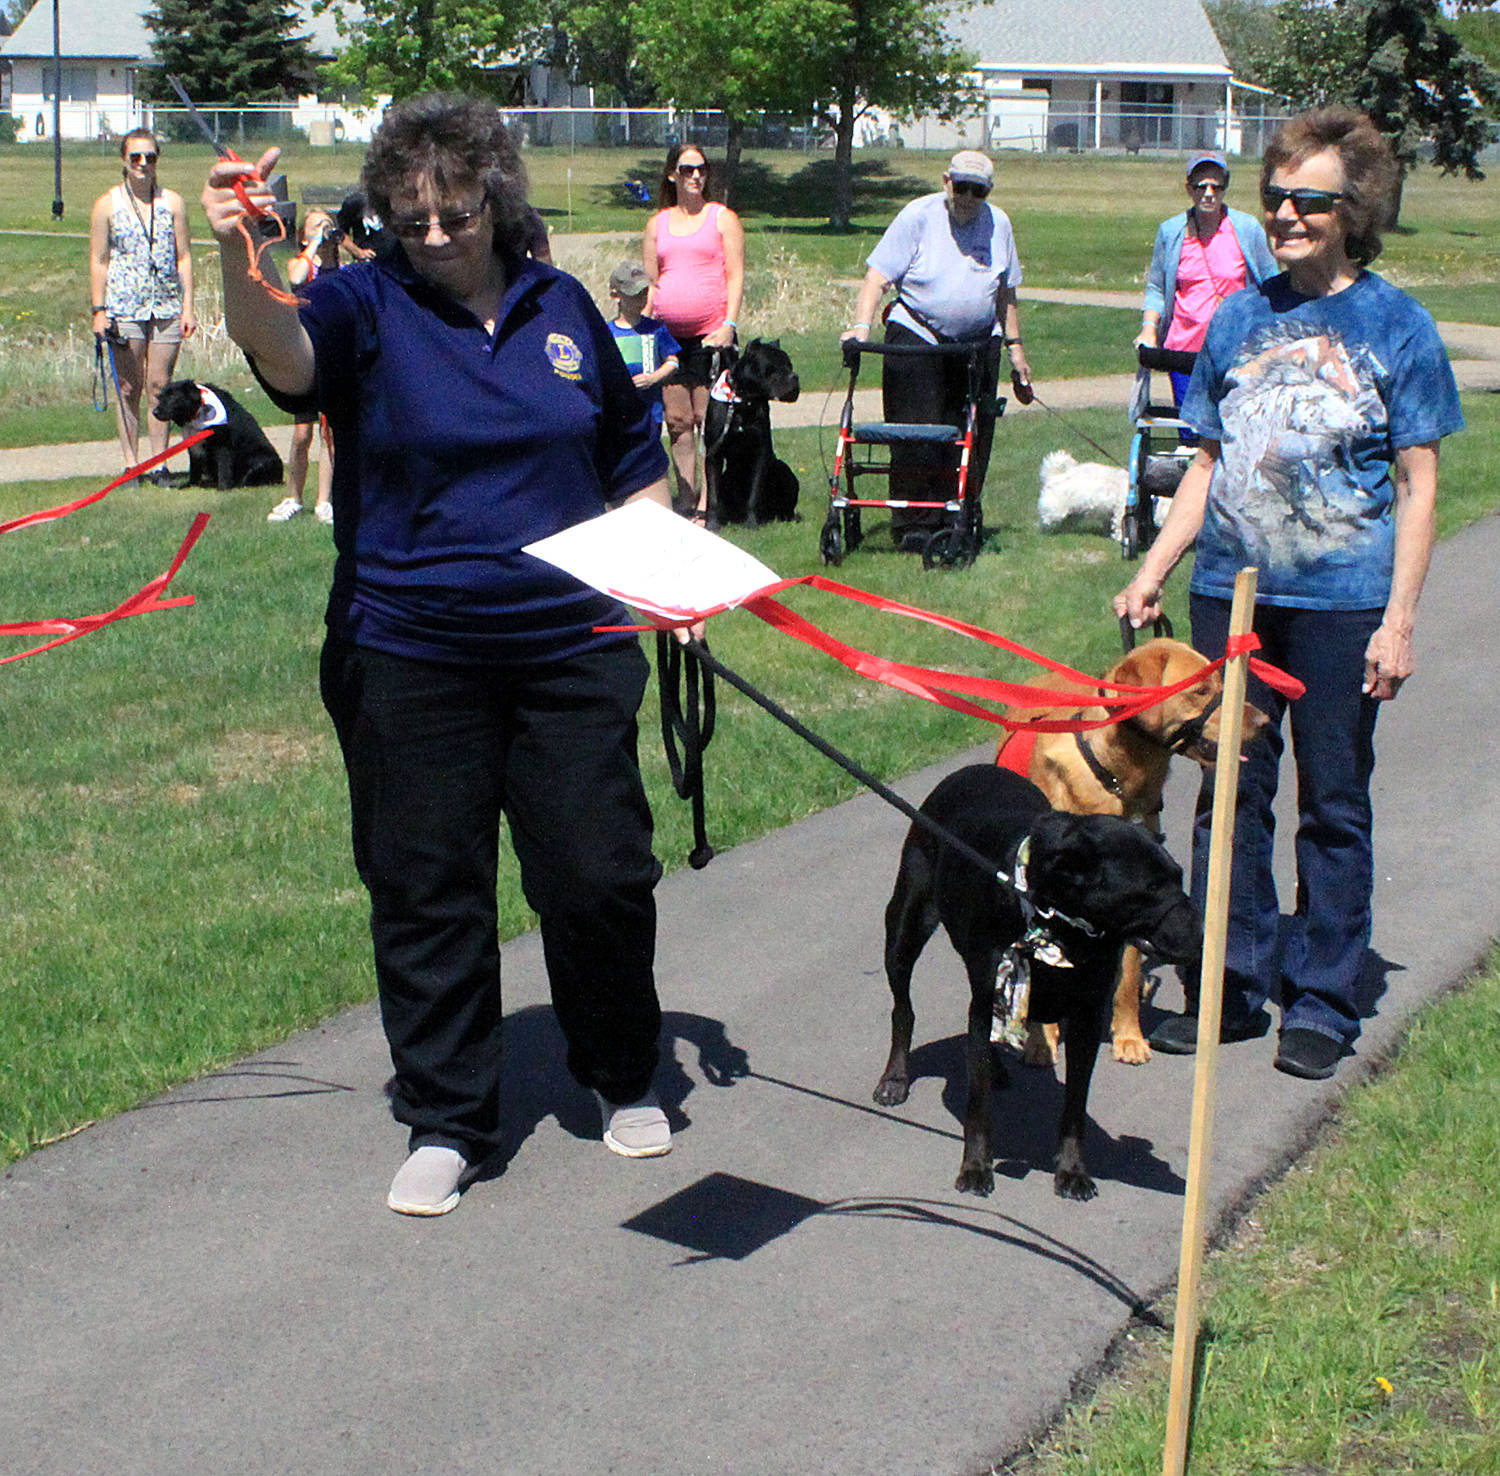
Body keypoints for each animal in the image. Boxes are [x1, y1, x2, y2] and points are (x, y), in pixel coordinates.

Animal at [155, 378, 286, 492]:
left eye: (172, 397)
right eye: (160, 397)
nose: (154, 412)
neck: (199, 410)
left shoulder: (223, 446)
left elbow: (224, 469)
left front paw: (223, 488)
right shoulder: (193, 447)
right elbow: (194, 471)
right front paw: (189, 485)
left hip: (260, 459)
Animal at [876, 762, 1200, 1200]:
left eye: (1179, 876)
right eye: (1148, 890)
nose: (1205, 936)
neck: (1058, 925)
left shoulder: (1085, 1014)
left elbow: (1075, 1104)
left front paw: (1072, 1171)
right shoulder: (991, 990)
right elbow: (977, 1103)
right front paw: (975, 1168)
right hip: (906, 923)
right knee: (904, 1007)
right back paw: (895, 1078)